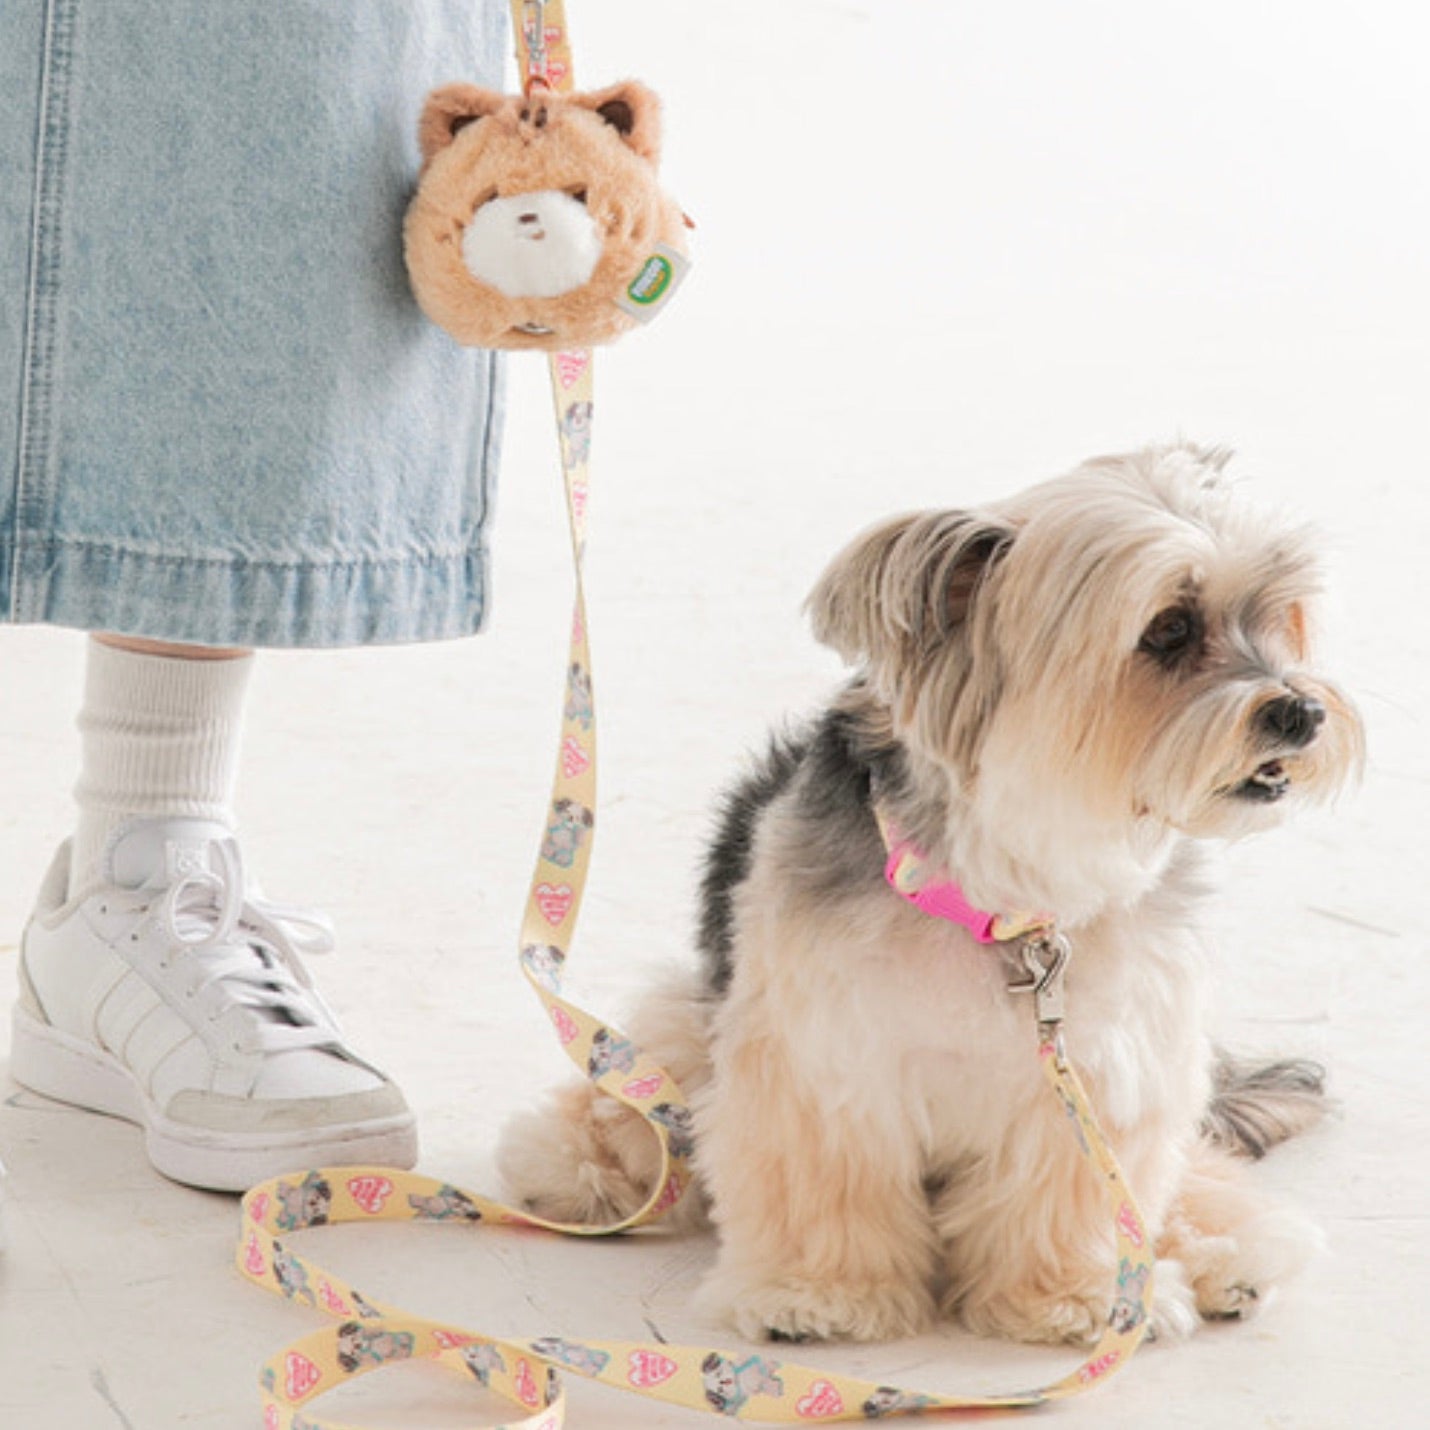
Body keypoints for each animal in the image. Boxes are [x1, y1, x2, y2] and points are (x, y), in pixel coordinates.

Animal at [498, 443, 1364, 1347]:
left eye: (1277, 615)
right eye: (1168, 629)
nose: (1301, 711)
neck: (1005, 899)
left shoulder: (1100, 1071)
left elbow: (1072, 1202)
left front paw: (1083, 1297)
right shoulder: (822, 1062)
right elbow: (827, 1185)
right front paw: (818, 1295)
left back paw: (1230, 1251)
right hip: (689, 1021)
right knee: (633, 1103)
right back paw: (579, 1168)